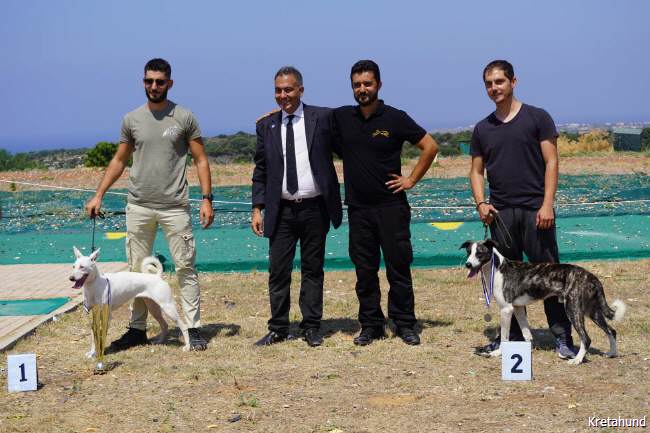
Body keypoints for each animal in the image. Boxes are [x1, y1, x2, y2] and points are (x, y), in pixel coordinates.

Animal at [461, 239, 626, 365]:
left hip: (573, 309)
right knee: (612, 330)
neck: (498, 268)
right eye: (469, 252)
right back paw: (611, 353)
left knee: (586, 338)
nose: (468, 265)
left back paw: (577, 360)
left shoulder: (506, 310)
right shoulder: (518, 308)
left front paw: (498, 352)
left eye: (479, 253)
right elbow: (526, 334)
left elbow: (504, 337)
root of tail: (591, 276)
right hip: (592, 311)